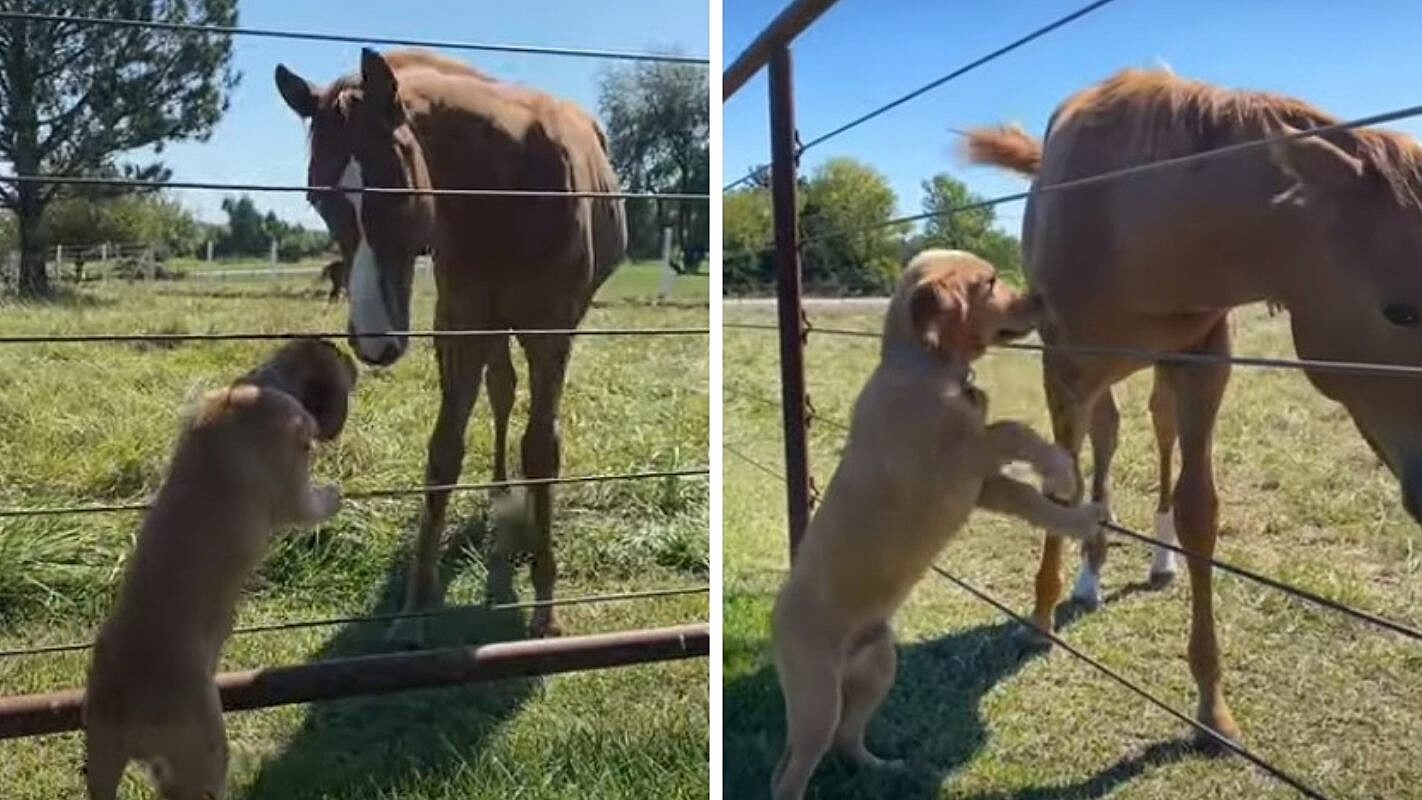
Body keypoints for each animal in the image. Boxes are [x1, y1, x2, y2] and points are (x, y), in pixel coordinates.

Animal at [274, 48, 625, 645]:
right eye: (316, 199)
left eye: (395, 190)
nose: (373, 341)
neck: (505, 193)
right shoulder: (461, 325)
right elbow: (443, 451)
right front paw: (414, 610)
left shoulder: (551, 334)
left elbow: (542, 451)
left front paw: (545, 606)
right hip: (487, 328)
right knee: (501, 390)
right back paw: (500, 491)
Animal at [773, 250, 1103, 800]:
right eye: (989, 282)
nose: (1041, 296)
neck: (926, 366)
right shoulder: (955, 465)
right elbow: (1011, 429)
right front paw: (1060, 468)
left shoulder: (982, 486)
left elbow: (1029, 499)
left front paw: (1083, 517)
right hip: (816, 696)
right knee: (791, 773)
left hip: (878, 669)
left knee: (847, 737)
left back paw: (881, 767)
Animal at [972, 68, 1422, 738]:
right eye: (1398, 311)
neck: (1130, 222)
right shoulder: (1064, 366)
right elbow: (1062, 483)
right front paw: (1043, 614)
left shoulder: (1205, 363)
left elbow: (1198, 510)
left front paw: (1212, 705)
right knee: (1104, 437)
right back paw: (1088, 572)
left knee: (1155, 431)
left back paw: (1156, 560)